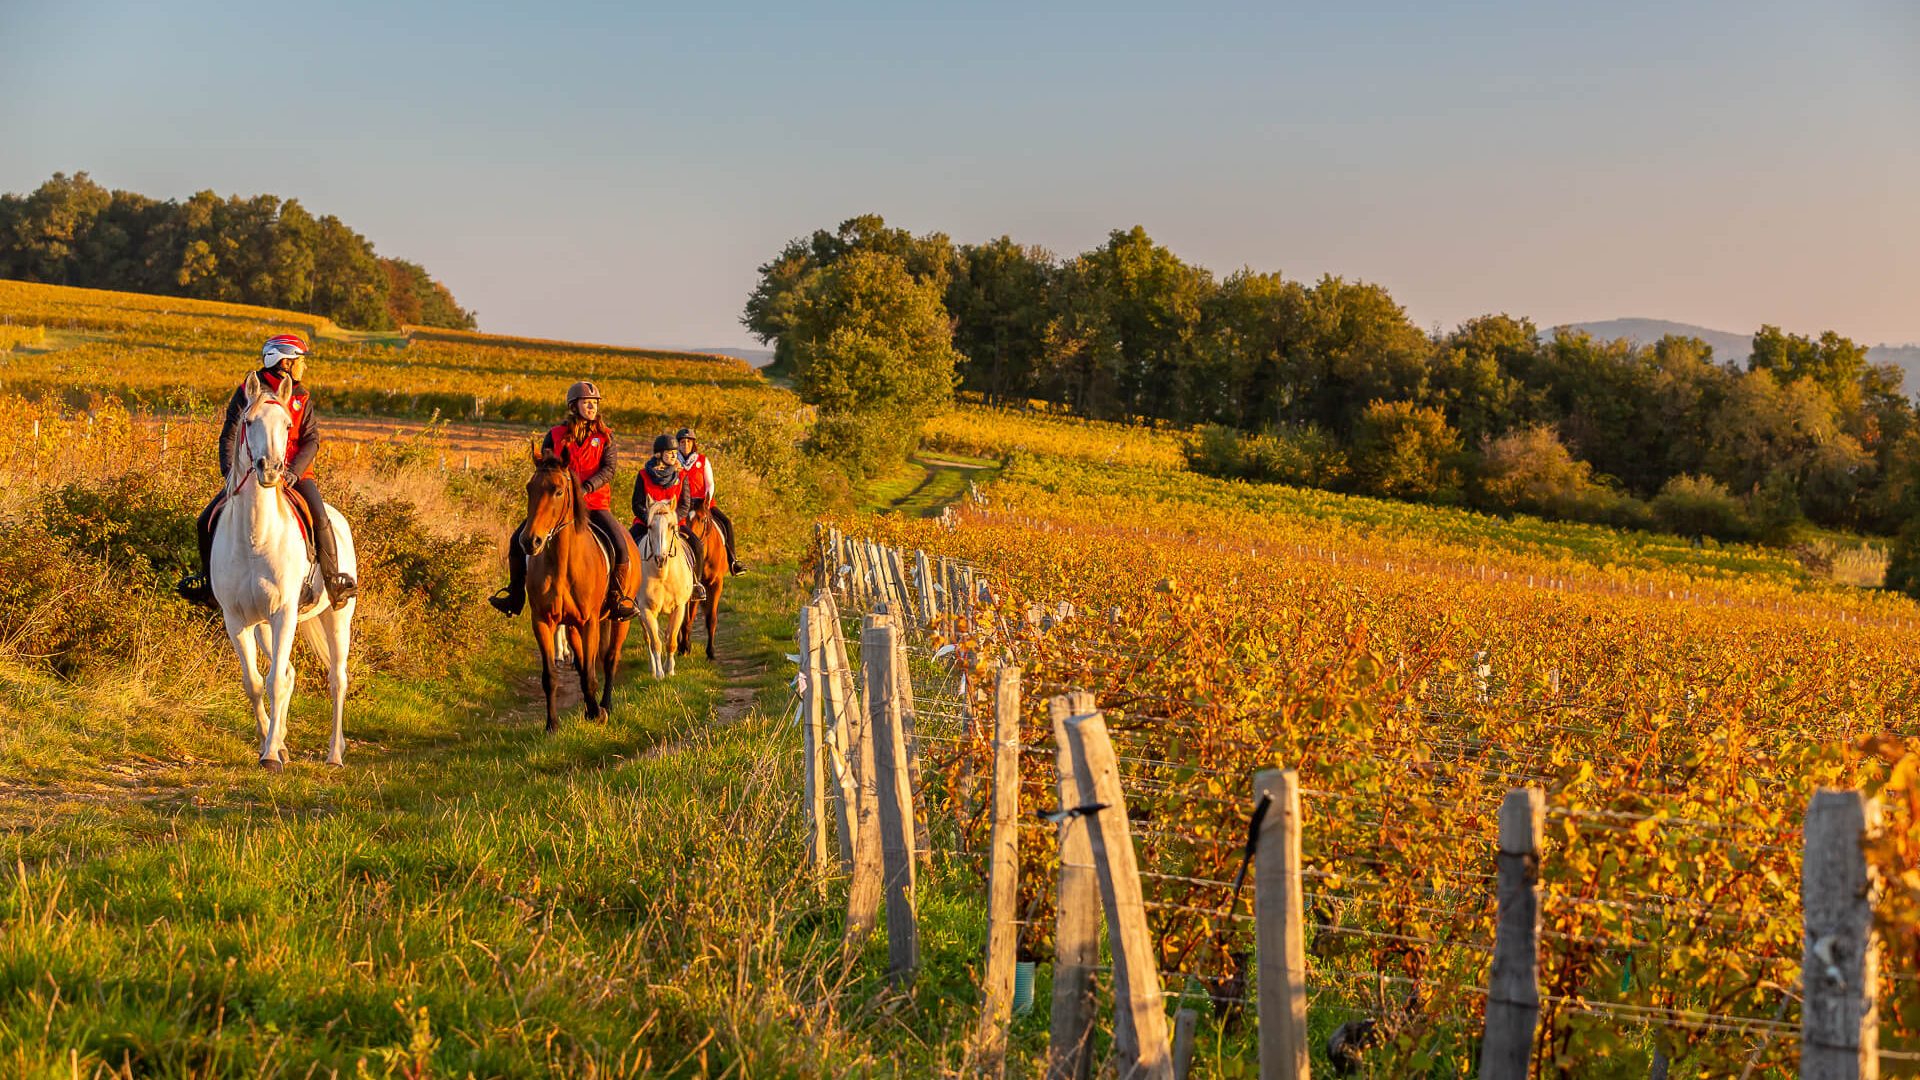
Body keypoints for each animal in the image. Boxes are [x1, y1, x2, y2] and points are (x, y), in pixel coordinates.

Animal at [212, 368, 359, 764]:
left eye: (288, 424)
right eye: (248, 421)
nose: (272, 470)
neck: (254, 538)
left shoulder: (284, 613)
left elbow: (275, 680)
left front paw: (270, 757)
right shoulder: (237, 620)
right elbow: (254, 683)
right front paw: (270, 740)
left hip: (337, 615)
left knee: (337, 678)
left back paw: (334, 753)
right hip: (263, 625)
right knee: (291, 672)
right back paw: (280, 740)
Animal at [518, 440, 637, 730]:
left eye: (558, 491)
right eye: (529, 488)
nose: (530, 541)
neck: (562, 564)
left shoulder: (590, 621)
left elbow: (592, 672)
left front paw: (598, 713)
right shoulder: (543, 621)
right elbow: (552, 676)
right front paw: (552, 725)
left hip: (619, 620)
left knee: (610, 658)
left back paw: (605, 705)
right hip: (571, 625)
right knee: (584, 662)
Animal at [633, 495, 695, 672]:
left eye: (671, 526)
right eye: (649, 526)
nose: (660, 559)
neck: (662, 574)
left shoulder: (679, 608)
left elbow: (671, 640)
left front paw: (670, 670)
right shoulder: (646, 610)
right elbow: (655, 643)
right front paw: (660, 673)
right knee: (647, 638)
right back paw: (653, 668)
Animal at [679, 499, 729, 661]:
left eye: (702, 519)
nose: (686, 537)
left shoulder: (715, 584)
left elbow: (711, 617)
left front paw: (711, 652)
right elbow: (687, 619)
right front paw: (685, 647)